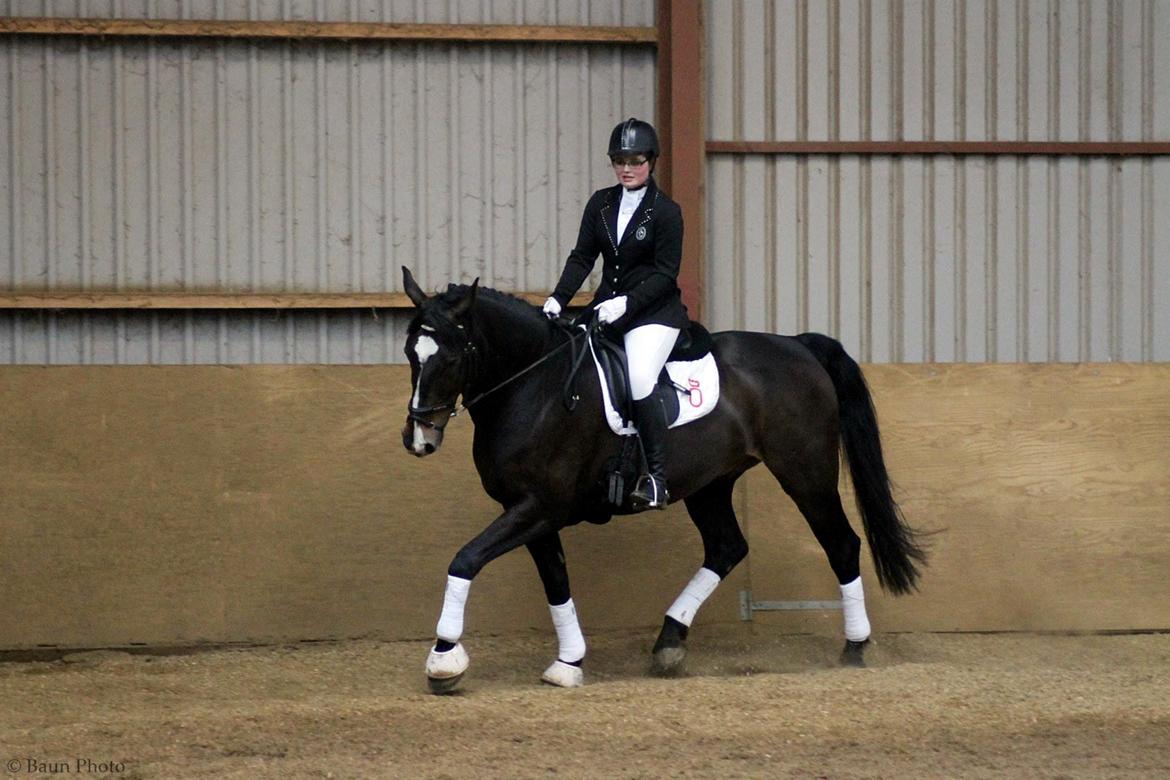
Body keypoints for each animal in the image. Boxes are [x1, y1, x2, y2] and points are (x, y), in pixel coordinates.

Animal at [400, 270, 921, 696]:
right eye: (410, 353)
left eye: (450, 357)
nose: (420, 438)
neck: (536, 386)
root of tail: (798, 345)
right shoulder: (530, 511)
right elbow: (556, 582)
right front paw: (568, 663)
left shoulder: (540, 507)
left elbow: (465, 560)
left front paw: (443, 659)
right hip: (712, 484)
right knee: (727, 547)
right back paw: (669, 643)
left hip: (805, 473)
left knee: (841, 544)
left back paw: (854, 648)